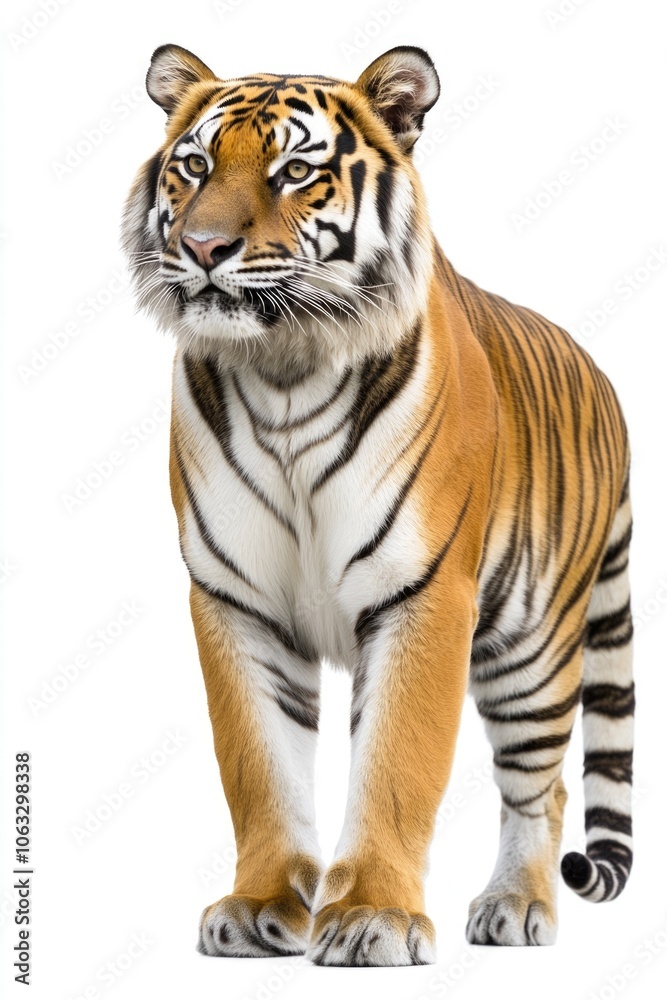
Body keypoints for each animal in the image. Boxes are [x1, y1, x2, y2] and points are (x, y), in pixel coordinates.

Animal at [122, 43, 635, 966]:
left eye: (295, 172)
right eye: (195, 165)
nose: (204, 247)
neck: (284, 368)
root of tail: (601, 376)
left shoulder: (423, 594)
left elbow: (397, 764)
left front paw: (373, 918)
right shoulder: (236, 601)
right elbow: (258, 765)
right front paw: (259, 907)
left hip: (536, 647)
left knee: (541, 788)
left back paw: (516, 905)